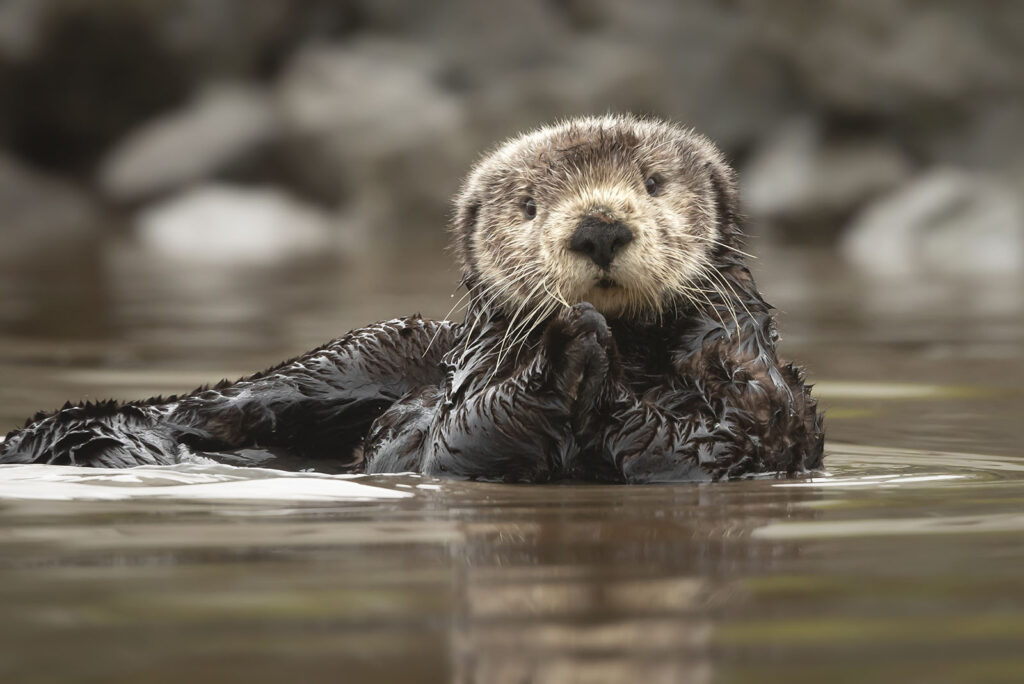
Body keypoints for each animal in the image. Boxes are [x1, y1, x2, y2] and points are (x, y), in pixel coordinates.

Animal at [0, 116, 823, 481]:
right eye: (528, 204)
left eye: (653, 183)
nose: (597, 227)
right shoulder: (457, 412)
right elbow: (457, 439)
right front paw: (567, 344)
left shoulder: (753, 396)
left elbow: (701, 445)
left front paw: (587, 353)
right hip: (365, 350)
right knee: (222, 403)